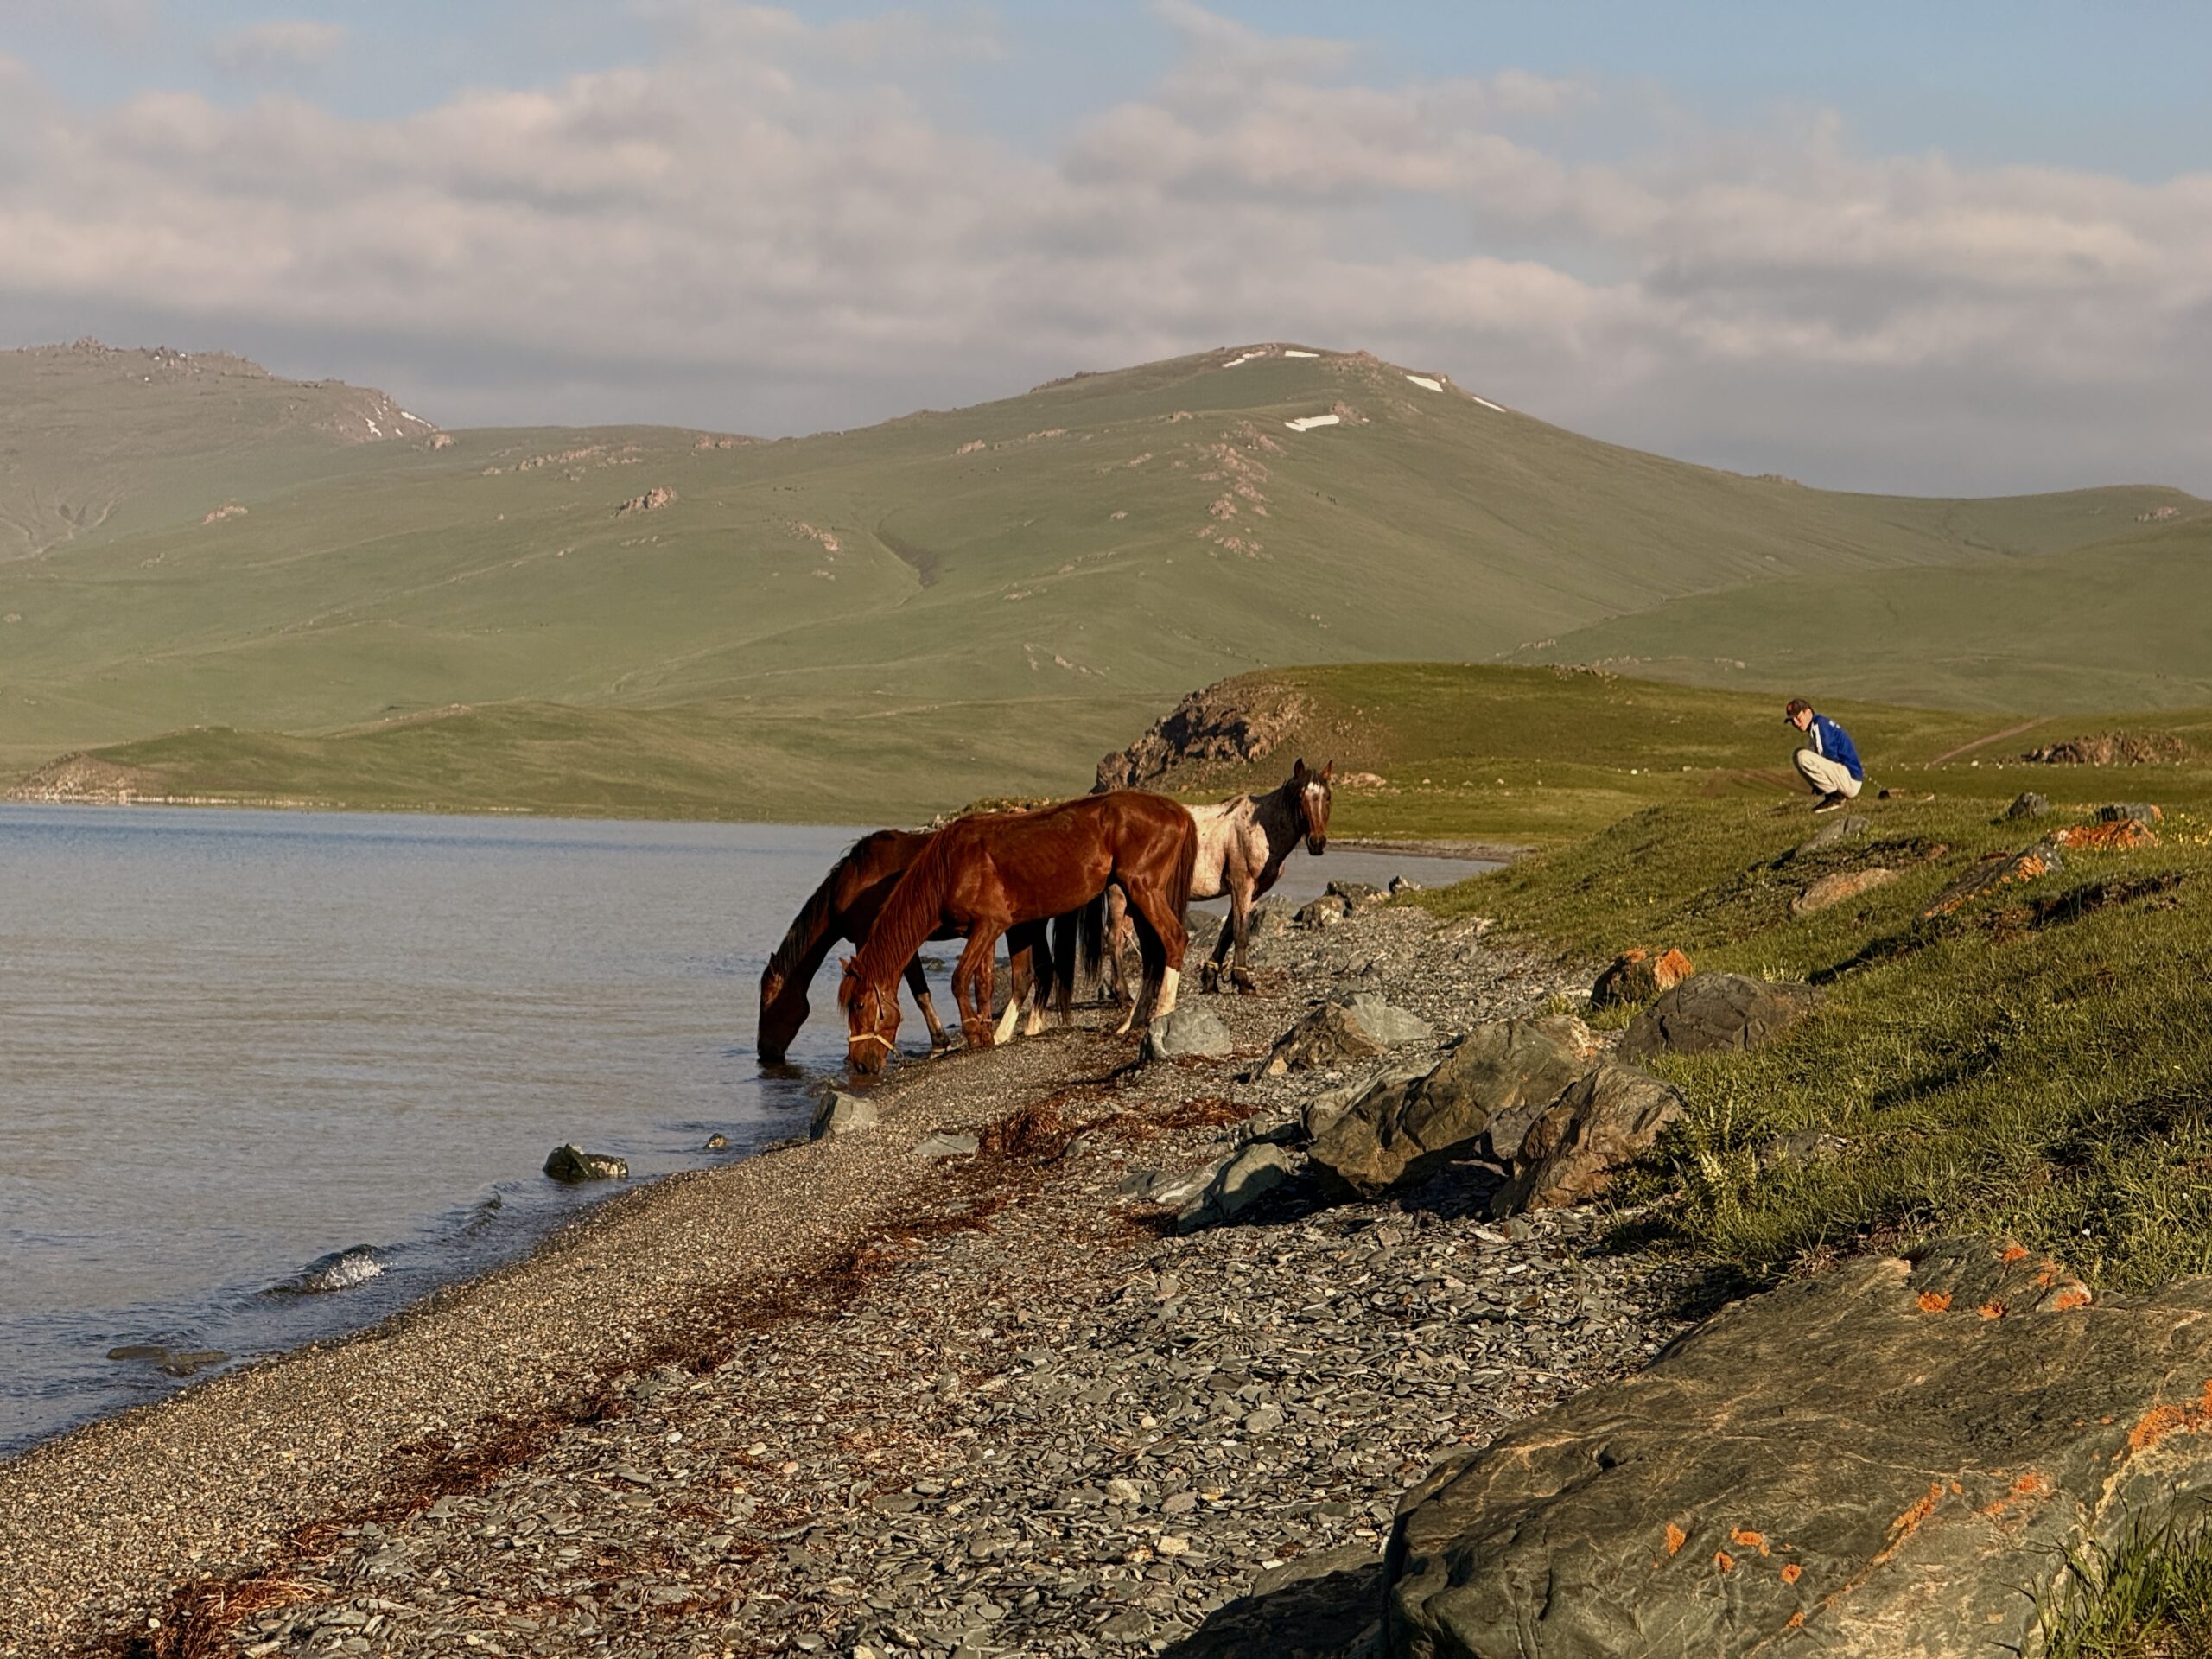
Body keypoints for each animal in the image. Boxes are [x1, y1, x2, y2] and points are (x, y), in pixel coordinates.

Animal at [758, 829, 1058, 1064]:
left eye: (766, 1001)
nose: (763, 1051)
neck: (853, 884)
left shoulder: (876, 942)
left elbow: (918, 993)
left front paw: (939, 1043)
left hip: (1021, 928)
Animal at [839, 792, 1197, 1077]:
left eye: (858, 1005)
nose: (860, 1064)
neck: (951, 867)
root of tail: (1176, 811)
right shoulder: (1010, 928)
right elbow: (1015, 978)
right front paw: (997, 1035)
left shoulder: (990, 925)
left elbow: (961, 978)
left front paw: (976, 1033)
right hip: (1136, 898)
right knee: (1153, 954)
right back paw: (1132, 1022)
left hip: (1143, 890)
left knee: (1174, 940)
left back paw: (1162, 1015)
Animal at [1100, 758, 1333, 1000]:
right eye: (1300, 797)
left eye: (1327, 797)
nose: (1317, 842)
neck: (1261, 829)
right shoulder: (1241, 886)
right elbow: (1240, 932)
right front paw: (1243, 982)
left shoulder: (1253, 893)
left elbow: (1227, 933)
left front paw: (1210, 979)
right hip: (1119, 893)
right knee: (1114, 938)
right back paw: (1123, 995)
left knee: (1120, 936)